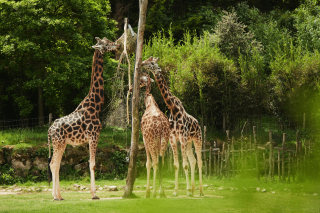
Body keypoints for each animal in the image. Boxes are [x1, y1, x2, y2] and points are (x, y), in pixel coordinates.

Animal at [48, 37, 120, 201]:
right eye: (107, 43)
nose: (118, 44)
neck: (96, 105)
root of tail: (49, 130)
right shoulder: (94, 135)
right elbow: (92, 164)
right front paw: (94, 194)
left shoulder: (90, 138)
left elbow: (90, 163)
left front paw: (93, 193)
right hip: (58, 142)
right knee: (54, 164)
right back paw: (55, 196)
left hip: (61, 143)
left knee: (55, 164)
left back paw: (59, 196)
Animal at [141, 56, 204, 196]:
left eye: (152, 63)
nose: (142, 63)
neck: (173, 108)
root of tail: (198, 123)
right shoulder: (173, 138)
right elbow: (176, 165)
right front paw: (176, 191)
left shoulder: (183, 137)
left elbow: (184, 165)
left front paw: (187, 191)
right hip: (189, 142)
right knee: (193, 160)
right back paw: (193, 189)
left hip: (197, 139)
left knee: (199, 161)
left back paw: (200, 191)